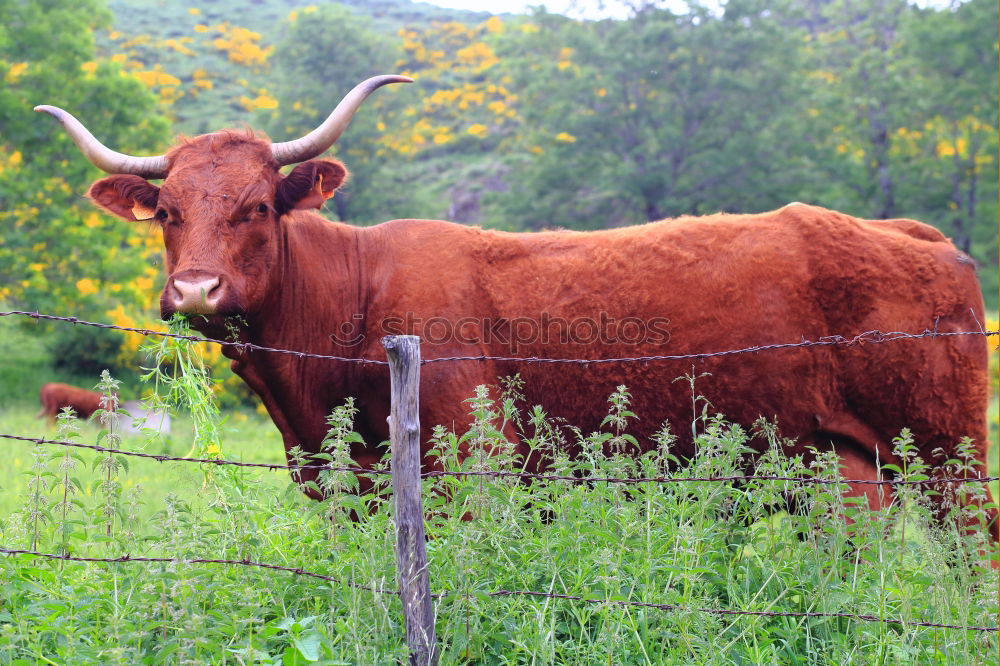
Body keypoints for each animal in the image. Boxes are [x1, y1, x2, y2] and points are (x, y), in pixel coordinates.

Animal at [35, 75, 996, 536]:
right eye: (167, 211)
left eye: (260, 206)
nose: (196, 290)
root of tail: (902, 231)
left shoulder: (478, 467)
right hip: (845, 464)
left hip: (949, 454)